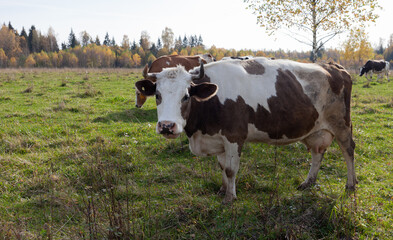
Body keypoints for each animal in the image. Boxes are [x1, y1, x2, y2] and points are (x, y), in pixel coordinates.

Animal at [136, 57, 356, 202]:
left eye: (186, 96)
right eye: (157, 95)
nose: (166, 126)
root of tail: (333, 66)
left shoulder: (234, 136)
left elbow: (231, 169)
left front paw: (230, 198)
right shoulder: (219, 139)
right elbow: (222, 167)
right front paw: (222, 190)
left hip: (341, 123)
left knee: (348, 150)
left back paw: (350, 185)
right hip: (316, 129)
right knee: (317, 153)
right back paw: (308, 182)